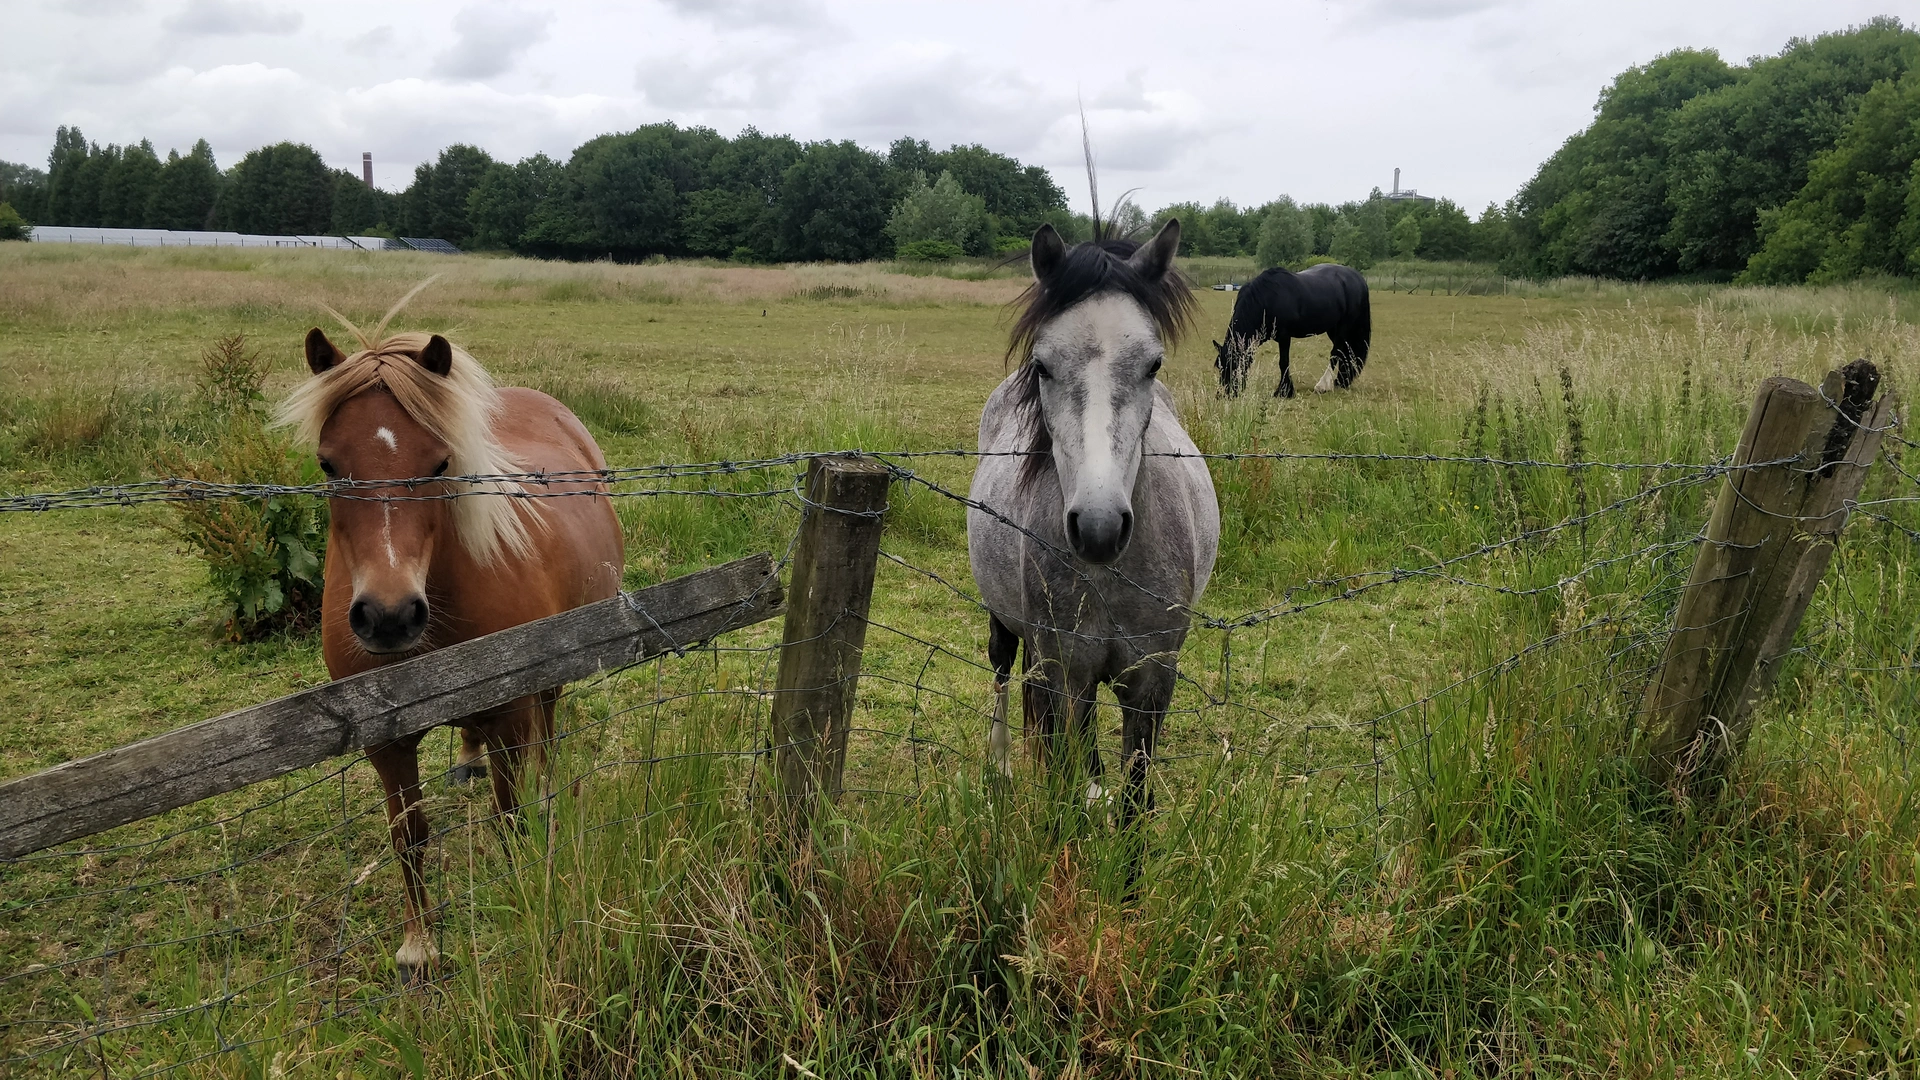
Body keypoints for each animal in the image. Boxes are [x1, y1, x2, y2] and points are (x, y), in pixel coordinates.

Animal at [276, 292, 624, 982]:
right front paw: (420, 946)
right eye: (328, 464)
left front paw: (522, 899)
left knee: (549, 722)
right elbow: (408, 836)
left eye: (439, 464)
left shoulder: (511, 709)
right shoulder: (384, 737)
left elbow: (508, 814)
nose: (389, 616)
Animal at [967, 218, 1220, 830]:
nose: (1099, 527)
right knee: (1003, 672)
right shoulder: (1069, 674)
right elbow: (1071, 770)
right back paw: (1000, 769)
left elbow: (1134, 797)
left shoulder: (1152, 681)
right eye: (1043, 366)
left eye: (1153, 364)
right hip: (1005, 623)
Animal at [1211, 263, 1371, 398]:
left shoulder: (1284, 336)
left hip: (1344, 327)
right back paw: (1341, 382)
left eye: (1234, 365)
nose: (1223, 394)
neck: (1266, 299)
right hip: (1333, 329)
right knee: (1344, 351)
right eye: (1220, 366)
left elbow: (1283, 362)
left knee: (1336, 352)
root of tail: (1358, 279)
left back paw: (1323, 386)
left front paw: (1284, 392)